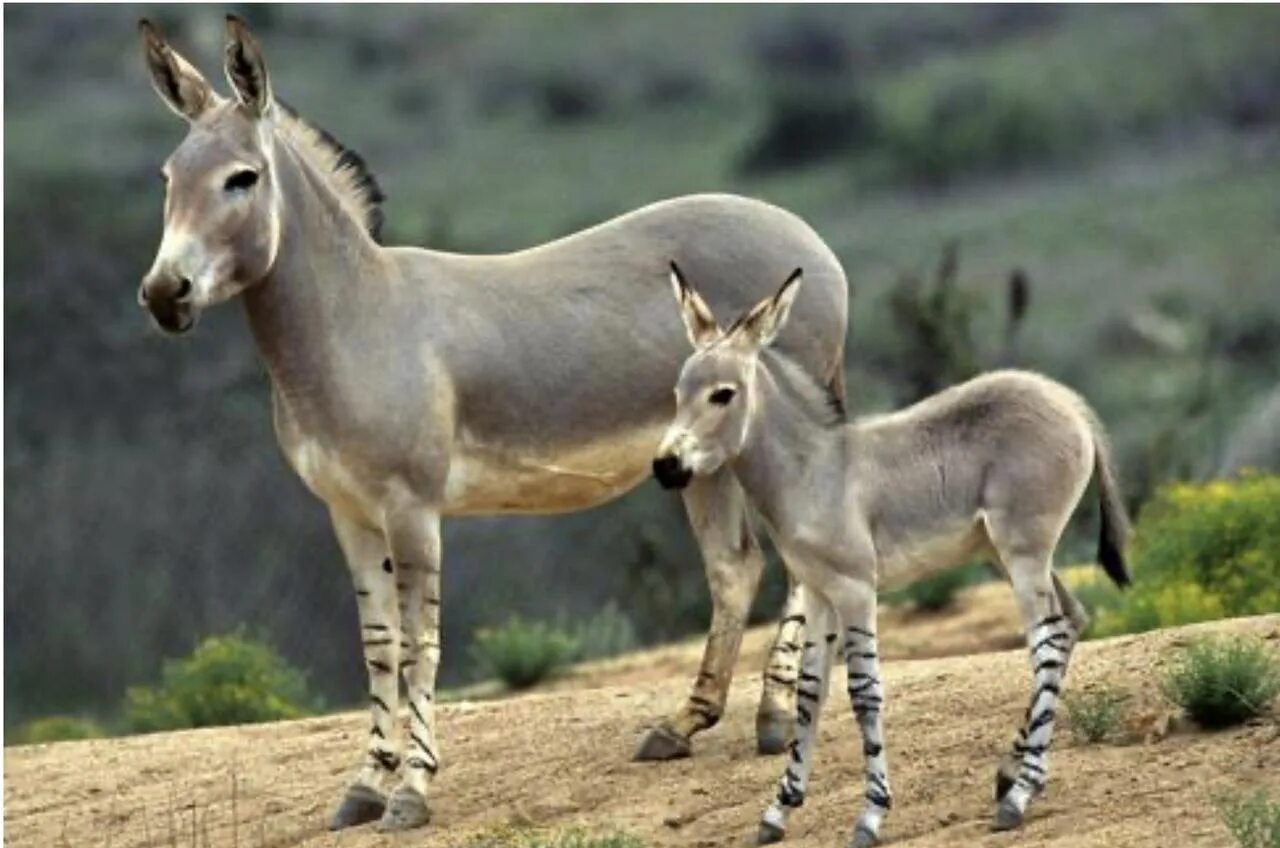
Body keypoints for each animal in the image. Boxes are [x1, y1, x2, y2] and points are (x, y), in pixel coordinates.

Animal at [655, 263, 1136, 845]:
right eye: (678, 393)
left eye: (723, 395)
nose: (665, 466)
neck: (812, 471)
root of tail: (1067, 400)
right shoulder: (818, 591)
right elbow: (810, 694)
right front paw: (779, 809)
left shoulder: (856, 589)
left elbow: (864, 692)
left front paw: (871, 813)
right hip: (1004, 553)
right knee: (1070, 620)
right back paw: (1011, 774)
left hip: (1024, 553)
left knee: (1045, 640)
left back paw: (1019, 795)